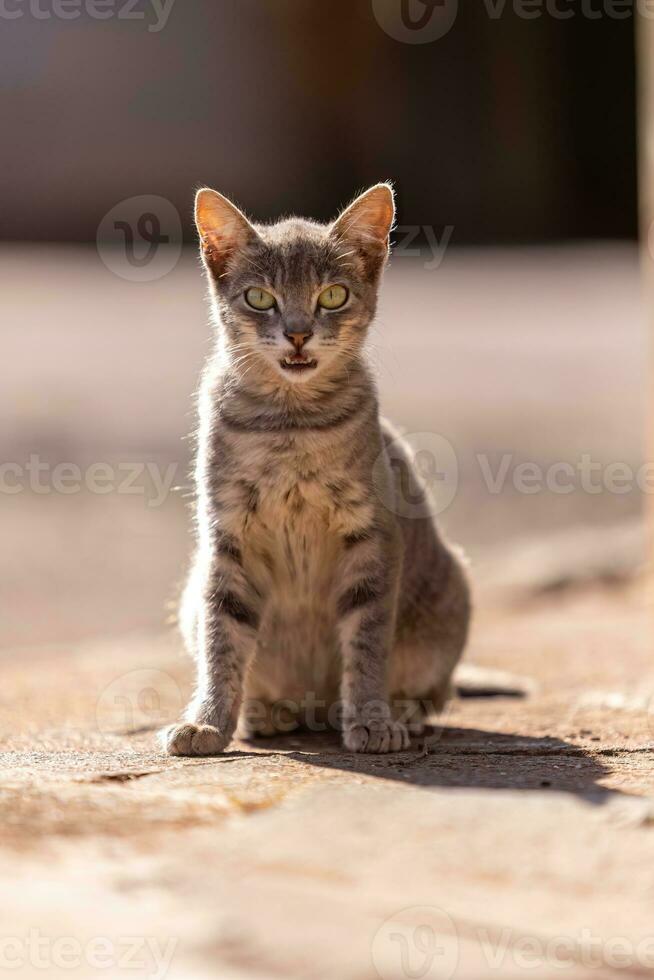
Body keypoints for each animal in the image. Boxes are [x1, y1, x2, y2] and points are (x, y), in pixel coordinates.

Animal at [163, 184, 472, 756]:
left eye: (332, 296)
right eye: (260, 298)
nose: (299, 334)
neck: (292, 425)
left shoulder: (373, 539)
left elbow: (367, 644)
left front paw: (370, 718)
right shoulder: (226, 541)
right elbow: (222, 642)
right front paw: (209, 722)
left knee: (438, 691)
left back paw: (400, 710)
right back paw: (267, 713)